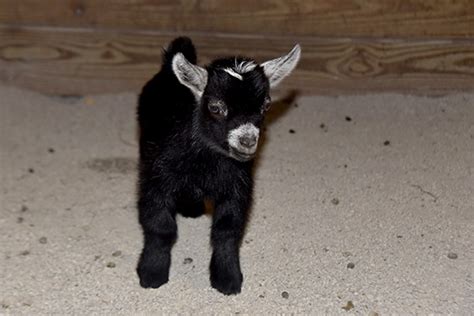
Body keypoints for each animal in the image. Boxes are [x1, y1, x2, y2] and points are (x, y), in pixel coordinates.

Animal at [137, 37, 300, 296]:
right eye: (215, 107)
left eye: (266, 105)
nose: (247, 140)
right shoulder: (157, 179)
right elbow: (160, 226)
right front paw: (152, 272)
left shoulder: (237, 187)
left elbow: (227, 230)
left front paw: (227, 278)